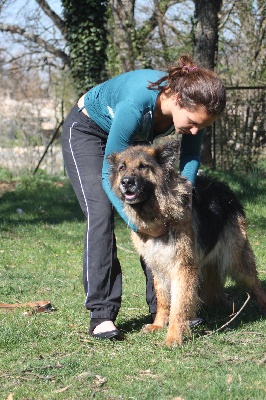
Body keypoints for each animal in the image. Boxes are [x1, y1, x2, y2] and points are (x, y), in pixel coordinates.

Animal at [107, 141, 266, 346]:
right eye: (122, 168)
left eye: (143, 166)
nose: (126, 182)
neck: (157, 213)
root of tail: (223, 187)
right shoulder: (158, 267)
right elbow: (163, 300)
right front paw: (158, 325)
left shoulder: (182, 268)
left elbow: (179, 305)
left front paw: (174, 335)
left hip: (235, 259)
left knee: (255, 284)